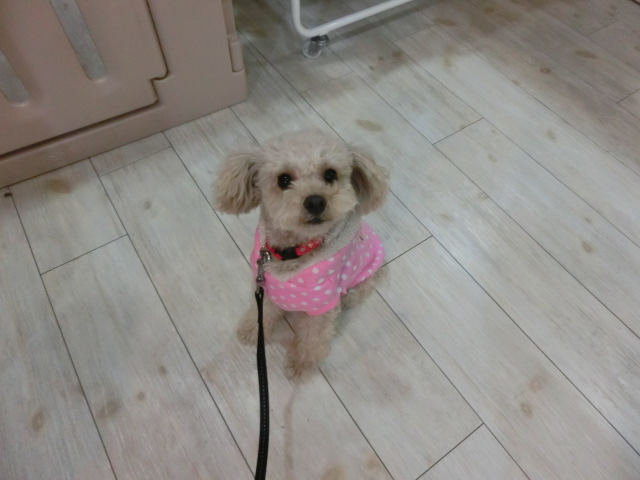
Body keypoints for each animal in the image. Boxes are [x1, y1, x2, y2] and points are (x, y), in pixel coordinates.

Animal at [214, 130, 389, 379]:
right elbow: (263, 313)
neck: (293, 253)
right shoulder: (267, 287)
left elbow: (313, 338)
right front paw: (251, 330)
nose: (315, 201)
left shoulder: (321, 304)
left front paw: (302, 364)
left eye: (330, 174)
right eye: (284, 179)